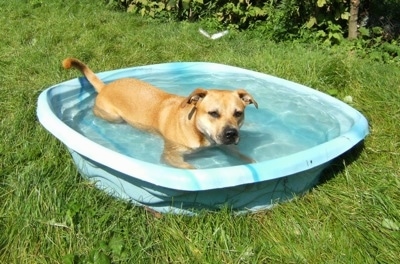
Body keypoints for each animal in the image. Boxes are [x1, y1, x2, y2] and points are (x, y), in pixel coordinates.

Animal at [62, 58, 256, 169]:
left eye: (238, 113)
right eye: (213, 113)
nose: (231, 133)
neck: (197, 130)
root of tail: (105, 86)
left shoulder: (223, 144)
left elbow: (241, 155)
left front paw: (252, 162)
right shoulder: (171, 156)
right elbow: (192, 169)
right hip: (114, 116)